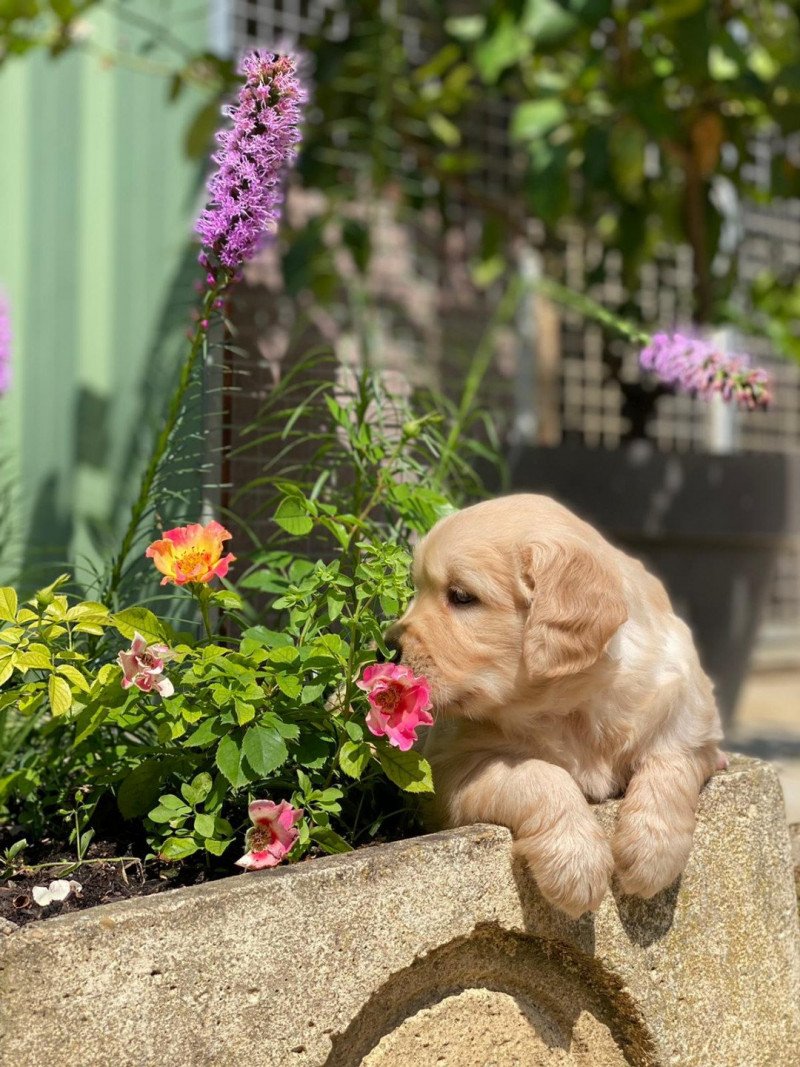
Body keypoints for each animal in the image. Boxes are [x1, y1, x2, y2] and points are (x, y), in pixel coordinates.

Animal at [388, 490, 725, 917]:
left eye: (462, 596)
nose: (385, 647)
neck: (571, 703)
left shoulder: (691, 725)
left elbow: (671, 766)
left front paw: (651, 853)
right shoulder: (451, 768)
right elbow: (539, 774)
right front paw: (576, 862)